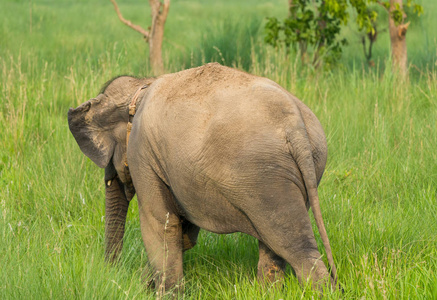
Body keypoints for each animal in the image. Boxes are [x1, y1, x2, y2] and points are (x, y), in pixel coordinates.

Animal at [67, 62, 338, 294]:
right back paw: (268, 292)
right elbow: (184, 233)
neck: (141, 85)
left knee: (295, 246)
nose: (112, 274)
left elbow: (161, 223)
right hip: (302, 169)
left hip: (266, 177)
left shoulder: (143, 152)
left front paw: (165, 293)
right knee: (274, 241)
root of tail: (295, 124)